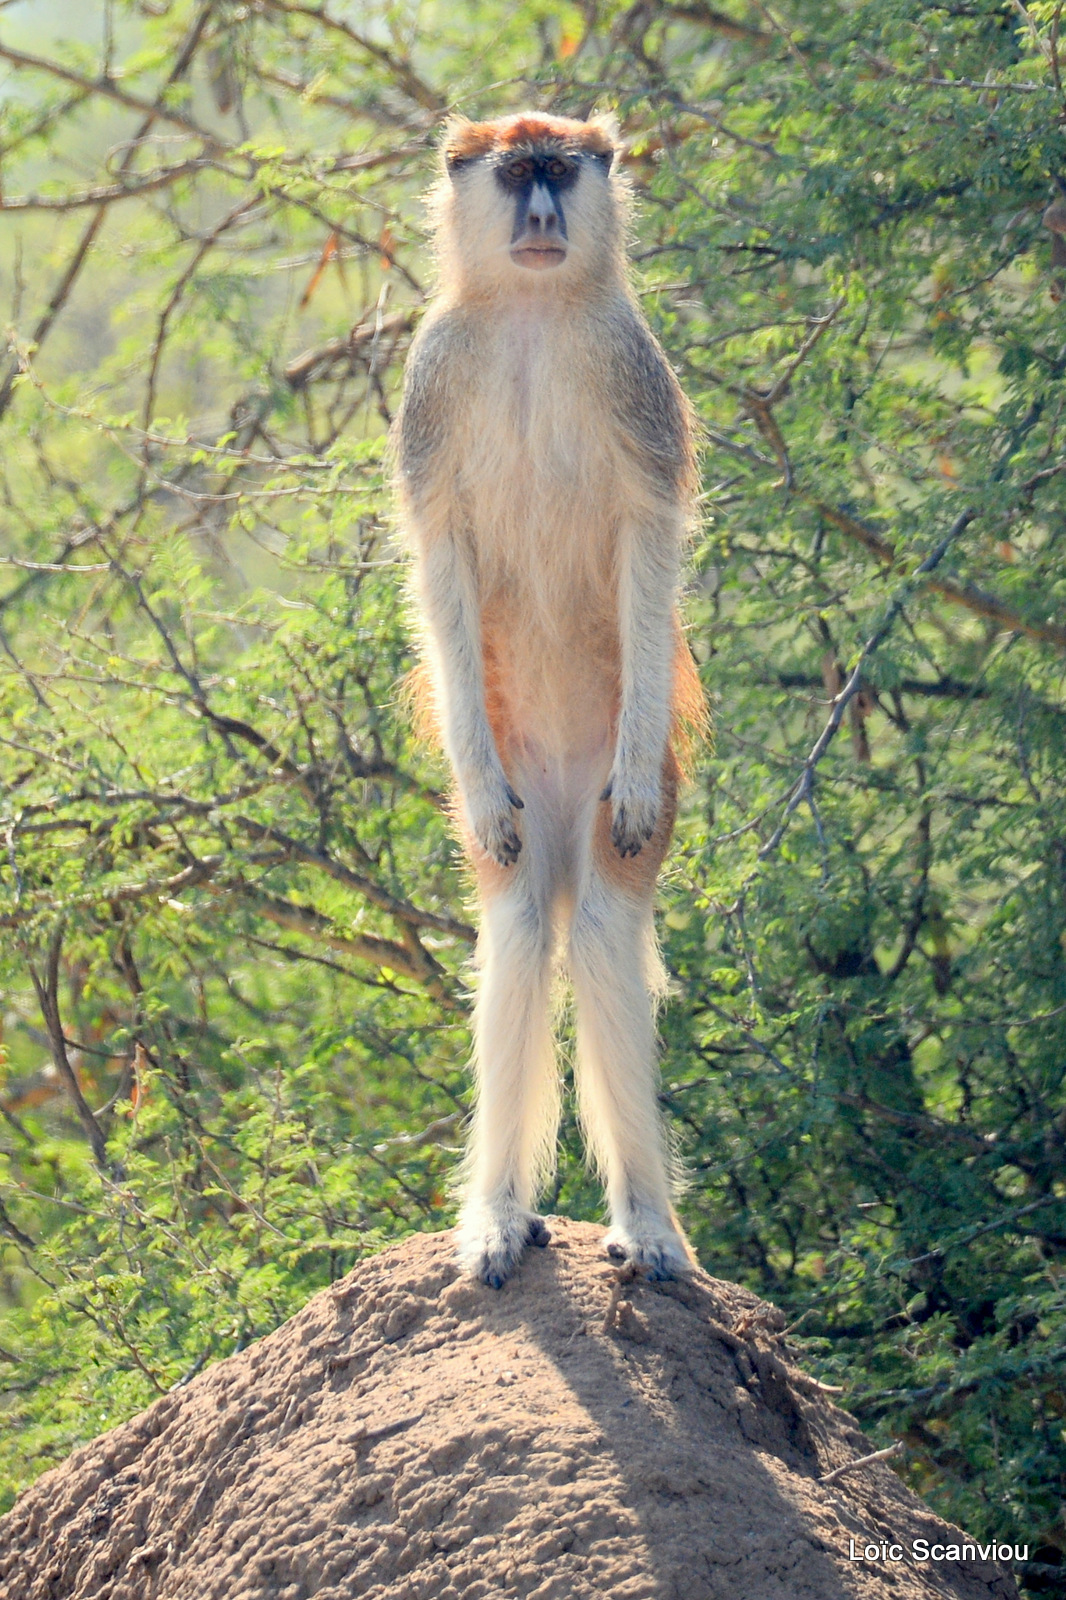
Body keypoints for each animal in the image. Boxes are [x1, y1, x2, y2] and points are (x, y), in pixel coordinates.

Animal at [393, 109, 701, 1286]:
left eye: (561, 170)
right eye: (516, 170)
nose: (537, 215)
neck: (529, 314)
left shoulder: (632, 373)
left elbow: (649, 533)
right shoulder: (430, 382)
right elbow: (438, 555)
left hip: (620, 771)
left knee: (605, 924)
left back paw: (647, 1225)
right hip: (521, 778)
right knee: (523, 924)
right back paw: (498, 1215)